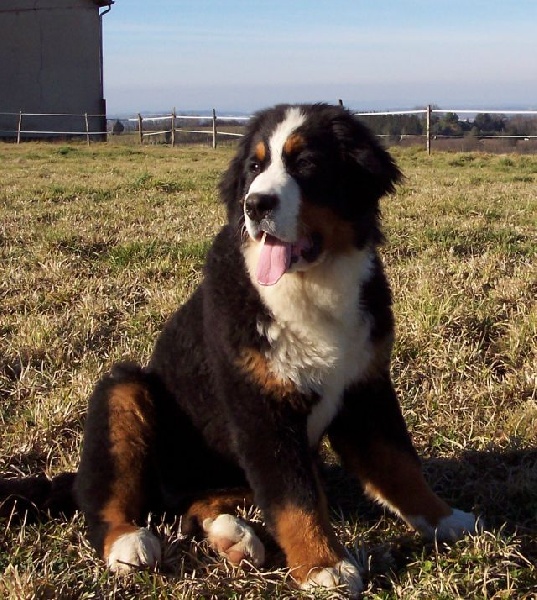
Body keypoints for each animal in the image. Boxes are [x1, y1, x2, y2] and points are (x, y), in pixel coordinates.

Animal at [4, 103, 476, 596]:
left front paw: (446, 519)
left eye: (306, 164)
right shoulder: (260, 410)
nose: (256, 204)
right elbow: (295, 499)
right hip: (124, 389)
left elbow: (398, 465)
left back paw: (233, 537)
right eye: (254, 166)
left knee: (199, 503)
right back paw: (129, 542)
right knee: (104, 498)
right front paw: (323, 566)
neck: (310, 286)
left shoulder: (365, 389)